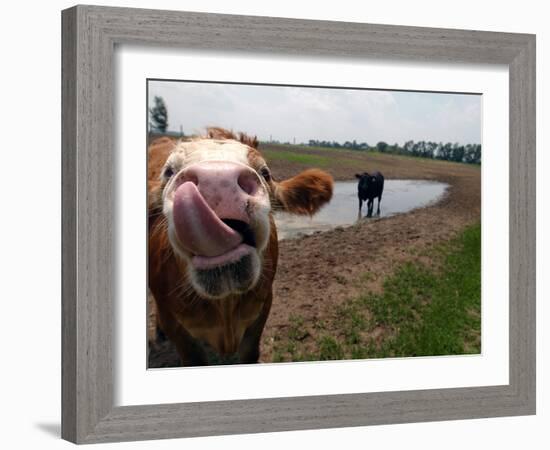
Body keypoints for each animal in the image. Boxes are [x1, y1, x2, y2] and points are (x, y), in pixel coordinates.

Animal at [149, 128, 334, 368]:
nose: (217, 181)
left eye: (265, 172)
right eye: (168, 172)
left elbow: (250, 353)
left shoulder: (261, 309)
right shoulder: (175, 324)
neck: (225, 307)